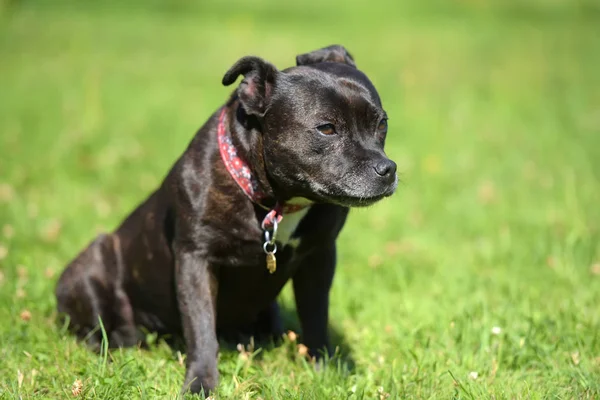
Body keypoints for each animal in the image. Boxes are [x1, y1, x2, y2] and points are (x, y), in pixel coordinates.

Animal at [54, 45, 396, 396]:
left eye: (382, 124)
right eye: (326, 128)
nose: (387, 169)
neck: (276, 201)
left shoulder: (319, 256)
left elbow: (315, 315)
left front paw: (324, 369)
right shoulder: (196, 259)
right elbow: (202, 328)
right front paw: (200, 384)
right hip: (91, 264)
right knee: (95, 329)